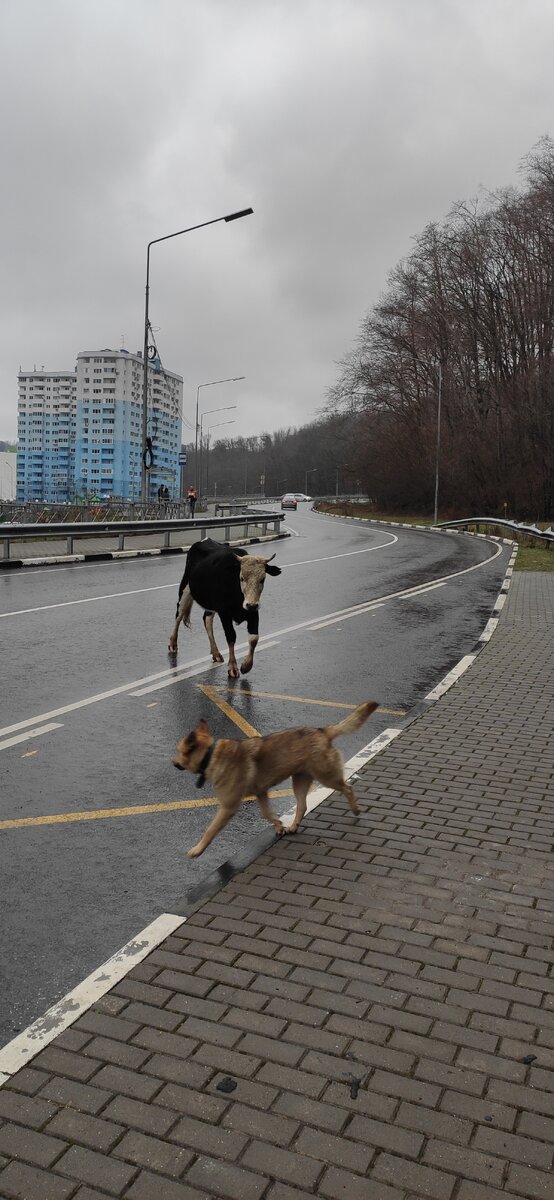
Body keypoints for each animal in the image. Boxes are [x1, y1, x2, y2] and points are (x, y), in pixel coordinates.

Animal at [167, 542, 281, 681]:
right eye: (241, 578)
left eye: (262, 579)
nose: (251, 604)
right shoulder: (224, 613)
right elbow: (231, 636)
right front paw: (233, 667)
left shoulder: (254, 612)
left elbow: (254, 638)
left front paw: (246, 666)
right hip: (185, 589)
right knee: (179, 614)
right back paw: (173, 643)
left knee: (207, 620)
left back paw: (216, 653)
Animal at [175, 700, 378, 859]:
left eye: (178, 751)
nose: (172, 762)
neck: (210, 755)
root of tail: (322, 731)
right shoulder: (261, 793)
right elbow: (267, 813)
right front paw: (279, 825)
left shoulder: (228, 806)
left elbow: (210, 830)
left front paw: (198, 849)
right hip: (300, 781)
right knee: (302, 806)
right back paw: (294, 826)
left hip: (327, 776)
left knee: (348, 788)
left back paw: (355, 809)